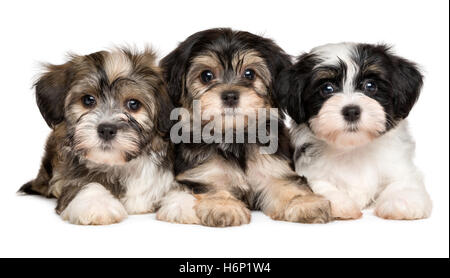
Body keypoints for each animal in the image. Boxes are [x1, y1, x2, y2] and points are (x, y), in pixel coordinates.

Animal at [18, 47, 199, 225]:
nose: (106, 129)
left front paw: (185, 203)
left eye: (133, 104)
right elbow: (84, 183)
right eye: (88, 100)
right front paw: (96, 203)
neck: (123, 165)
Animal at [160, 28, 332, 227]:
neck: (234, 137)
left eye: (249, 74)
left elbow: (286, 184)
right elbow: (213, 185)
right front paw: (224, 206)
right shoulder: (203, 172)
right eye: (206, 76)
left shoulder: (273, 168)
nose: (230, 96)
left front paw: (304, 203)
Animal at [278, 43, 432, 219]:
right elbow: (317, 185)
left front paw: (402, 201)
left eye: (370, 86)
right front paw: (339, 203)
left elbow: (404, 181)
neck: (354, 148)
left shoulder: (400, 165)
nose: (351, 111)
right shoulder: (309, 170)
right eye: (327, 88)